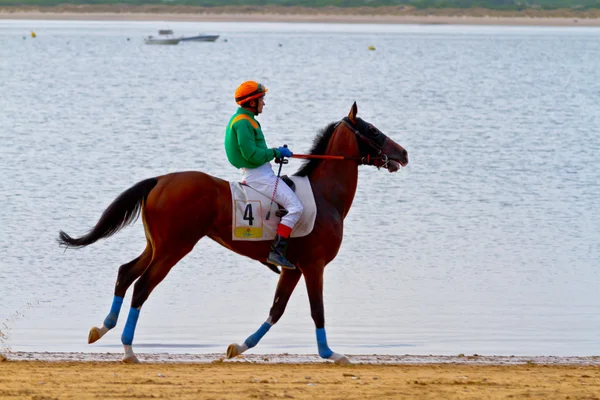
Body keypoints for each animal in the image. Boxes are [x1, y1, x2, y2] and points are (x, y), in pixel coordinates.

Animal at [58, 101, 408, 364]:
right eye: (373, 130)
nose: (403, 153)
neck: (324, 196)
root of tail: (160, 180)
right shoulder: (314, 266)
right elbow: (317, 310)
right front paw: (330, 354)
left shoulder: (293, 269)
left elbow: (276, 309)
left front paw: (239, 347)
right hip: (174, 248)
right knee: (142, 286)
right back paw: (129, 349)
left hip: (155, 245)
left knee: (125, 273)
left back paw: (102, 329)